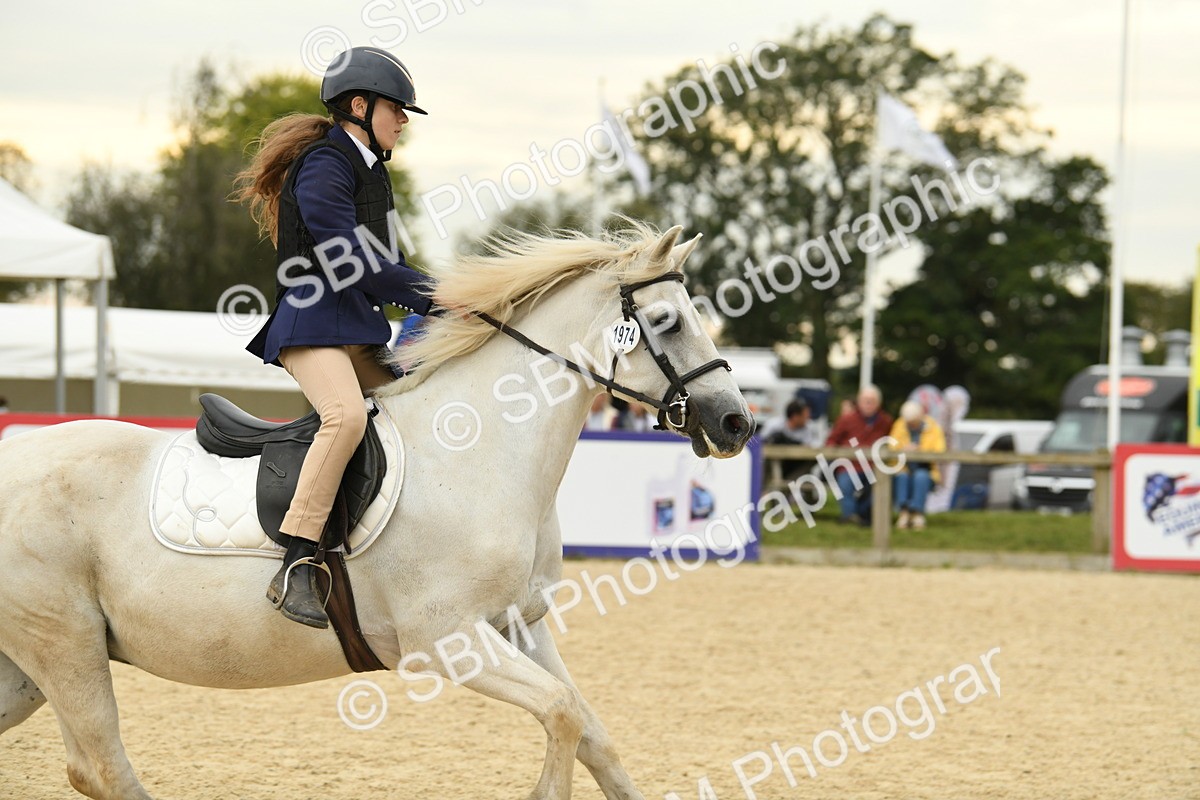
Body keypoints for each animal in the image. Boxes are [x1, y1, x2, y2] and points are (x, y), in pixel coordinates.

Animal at [0, 223, 754, 800]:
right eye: (666, 322)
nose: (736, 423)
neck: (479, 453)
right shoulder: (447, 641)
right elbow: (565, 716)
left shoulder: (520, 626)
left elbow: (595, 735)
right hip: (64, 646)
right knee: (101, 767)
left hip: (28, 669)